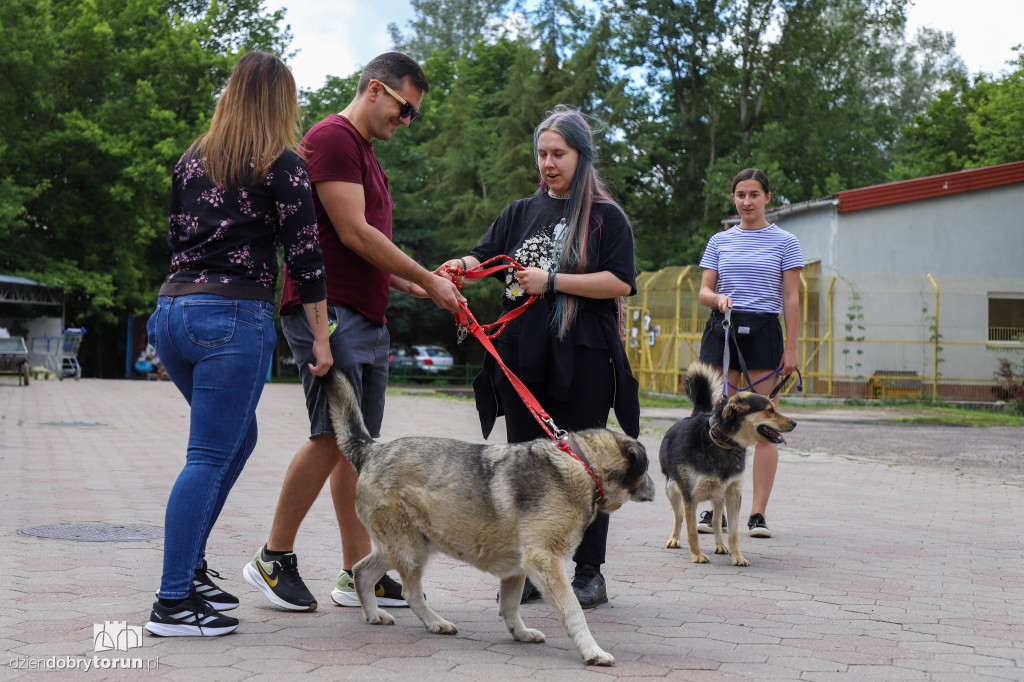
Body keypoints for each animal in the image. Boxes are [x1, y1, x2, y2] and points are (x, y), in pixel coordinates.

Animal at [323, 368, 651, 659]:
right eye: (645, 467)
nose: (655, 486)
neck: (583, 463)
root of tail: (371, 451)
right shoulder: (545, 560)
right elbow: (573, 610)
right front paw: (592, 651)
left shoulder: (518, 568)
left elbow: (510, 606)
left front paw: (520, 633)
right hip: (411, 550)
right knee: (409, 593)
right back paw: (435, 622)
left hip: (402, 546)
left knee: (362, 571)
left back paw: (374, 614)